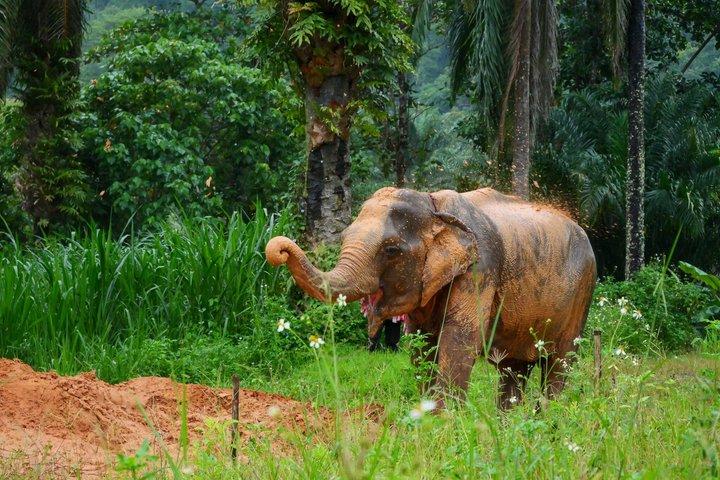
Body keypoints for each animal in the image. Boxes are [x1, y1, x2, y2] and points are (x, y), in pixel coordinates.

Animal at [265, 187, 597, 409]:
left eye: (391, 250)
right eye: (344, 237)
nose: (278, 250)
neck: (433, 203)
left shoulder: (480, 268)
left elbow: (459, 340)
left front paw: (444, 421)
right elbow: (422, 344)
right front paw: (425, 417)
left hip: (582, 292)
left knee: (558, 365)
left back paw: (547, 424)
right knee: (514, 369)